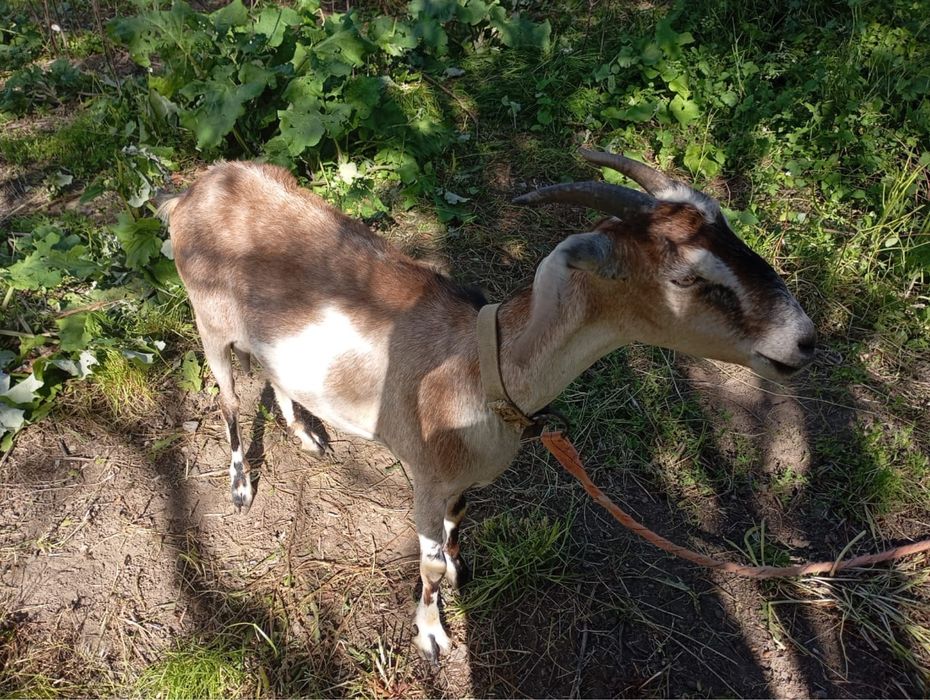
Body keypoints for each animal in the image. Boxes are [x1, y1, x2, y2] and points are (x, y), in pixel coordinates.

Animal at [157, 149, 816, 663]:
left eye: (731, 231)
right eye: (684, 277)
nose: (803, 340)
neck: (480, 369)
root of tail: (191, 192)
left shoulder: (460, 483)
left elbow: (457, 527)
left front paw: (457, 571)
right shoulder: (424, 478)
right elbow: (425, 564)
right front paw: (432, 637)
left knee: (273, 376)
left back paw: (310, 435)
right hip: (210, 325)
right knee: (229, 398)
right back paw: (241, 488)